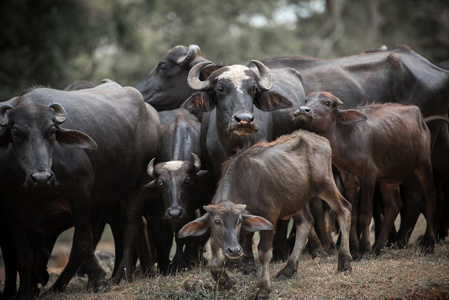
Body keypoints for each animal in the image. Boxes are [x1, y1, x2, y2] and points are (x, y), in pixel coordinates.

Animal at [0, 81, 160, 298]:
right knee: (121, 226)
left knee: (131, 224)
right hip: (111, 195)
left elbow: (82, 243)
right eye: (16, 133)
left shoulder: (81, 197)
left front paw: (94, 281)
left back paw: (122, 274)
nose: (41, 177)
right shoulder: (11, 210)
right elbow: (23, 255)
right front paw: (25, 291)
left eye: (52, 131)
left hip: (138, 183)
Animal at [177, 131, 352, 300]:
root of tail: (321, 140)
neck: (246, 184)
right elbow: (214, 257)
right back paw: (288, 269)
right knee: (306, 223)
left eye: (239, 221)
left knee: (344, 209)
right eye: (217, 221)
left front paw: (262, 288)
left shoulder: (270, 218)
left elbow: (264, 253)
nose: (235, 250)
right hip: (297, 200)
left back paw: (344, 262)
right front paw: (225, 280)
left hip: (325, 184)